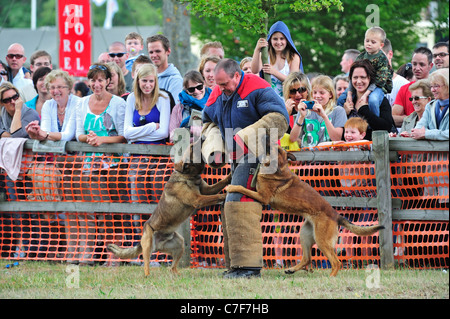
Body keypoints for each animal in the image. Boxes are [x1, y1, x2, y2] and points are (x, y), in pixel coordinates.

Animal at [107, 148, 230, 278]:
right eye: (192, 150)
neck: (187, 176)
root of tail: (158, 244)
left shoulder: (207, 190)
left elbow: (219, 184)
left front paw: (229, 177)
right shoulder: (198, 200)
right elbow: (215, 196)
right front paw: (224, 195)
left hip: (179, 244)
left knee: (172, 268)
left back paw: (177, 275)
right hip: (148, 244)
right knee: (146, 264)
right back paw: (148, 275)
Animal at [227, 146, 384, 278]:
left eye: (276, 149)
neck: (278, 168)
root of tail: (336, 215)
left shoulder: (262, 197)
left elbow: (243, 188)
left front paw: (231, 187)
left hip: (322, 241)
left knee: (336, 262)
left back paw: (330, 277)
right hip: (305, 235)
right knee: (307, 258)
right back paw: (292, 269)